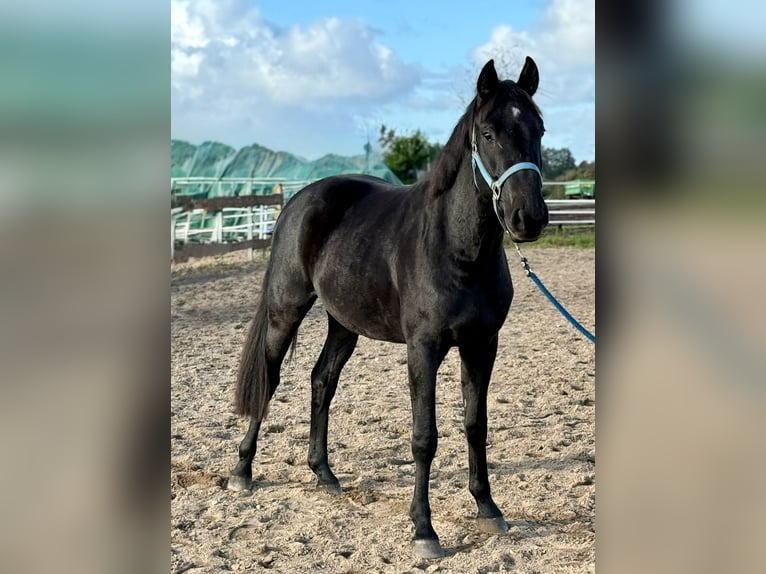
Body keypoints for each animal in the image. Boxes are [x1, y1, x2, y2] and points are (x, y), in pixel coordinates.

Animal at [228, 57, 548, 559]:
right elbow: (424, 437)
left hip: (344, 323)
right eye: (489, 133)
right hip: (285, 310)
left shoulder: (482, 345)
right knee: (271, 377)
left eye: (538, 128)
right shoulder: (423, 349)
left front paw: (487, 508)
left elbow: (475, 424)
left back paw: (324, 473)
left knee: (322, 380)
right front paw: (424, 530)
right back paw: (242, 471)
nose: (528, 218)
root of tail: (299, 200)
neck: (456, 249)